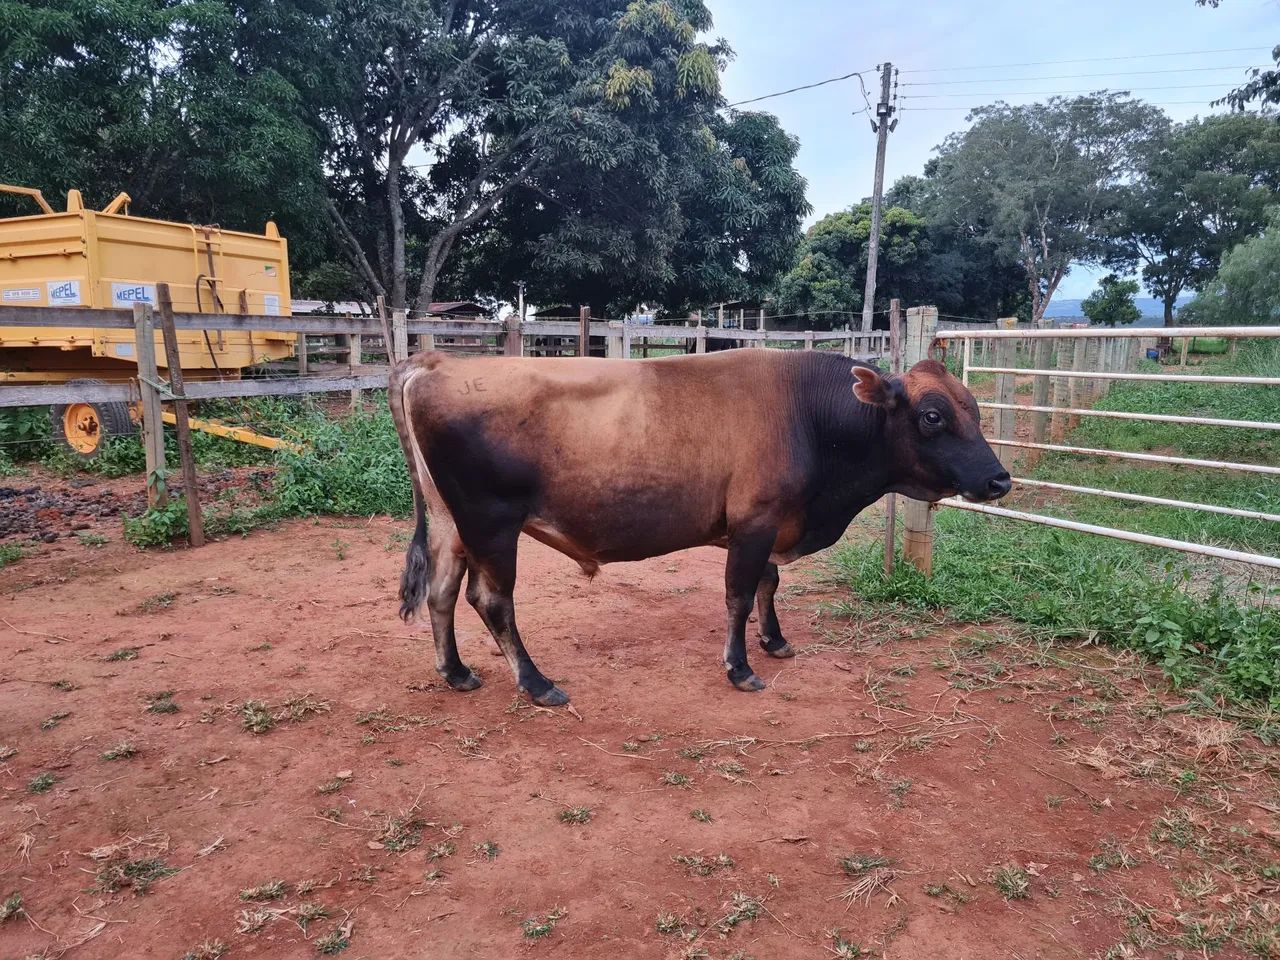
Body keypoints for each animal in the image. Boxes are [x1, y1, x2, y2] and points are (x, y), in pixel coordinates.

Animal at [388, 349, 1010, 707]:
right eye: (932, 416)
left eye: (975, 410)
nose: (1000, 479)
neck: (810, 414)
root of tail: (435, 362)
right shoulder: (755, 523)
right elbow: (739, 594)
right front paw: (740, 668)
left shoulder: (770, 527)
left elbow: (768, 585)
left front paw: (774, 641)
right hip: (490, 521)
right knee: (491, 600)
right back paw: (537, 684)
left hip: (450, 522)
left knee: (442, 592)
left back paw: (456, 671)